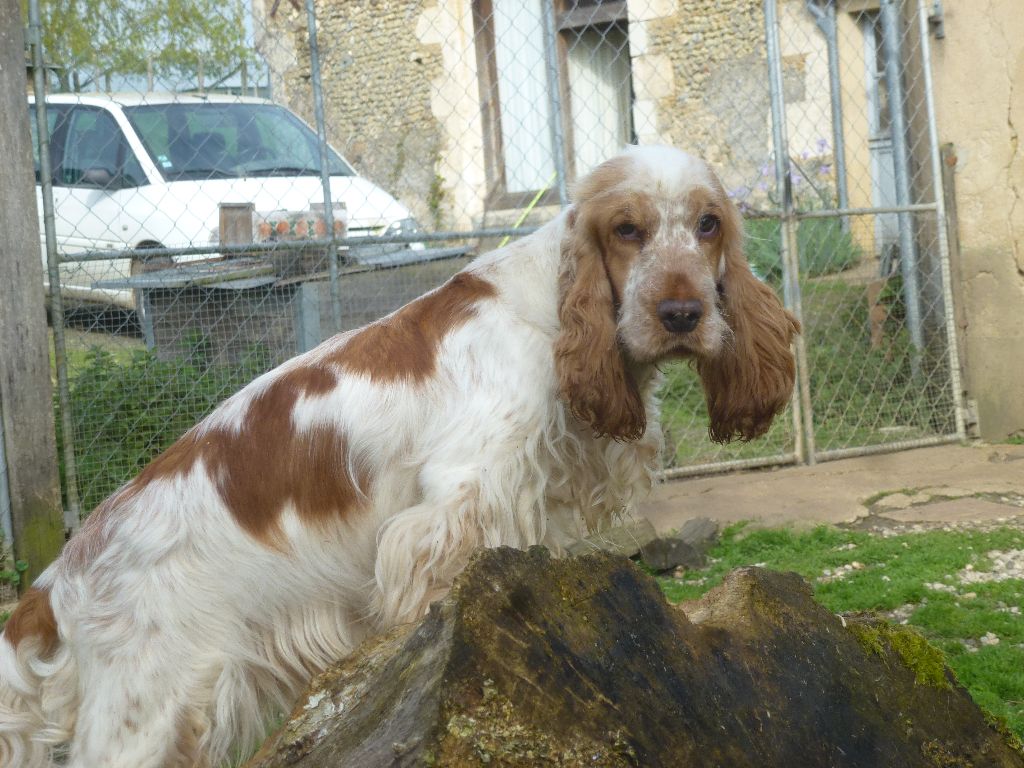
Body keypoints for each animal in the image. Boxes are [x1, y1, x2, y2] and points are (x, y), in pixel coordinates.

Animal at [0, 147, 798, 765]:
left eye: (708, 224)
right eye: (628, 229)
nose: (683, 314)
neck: (551, 315)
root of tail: (56, 581)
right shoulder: (448, 513)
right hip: (144, 717)